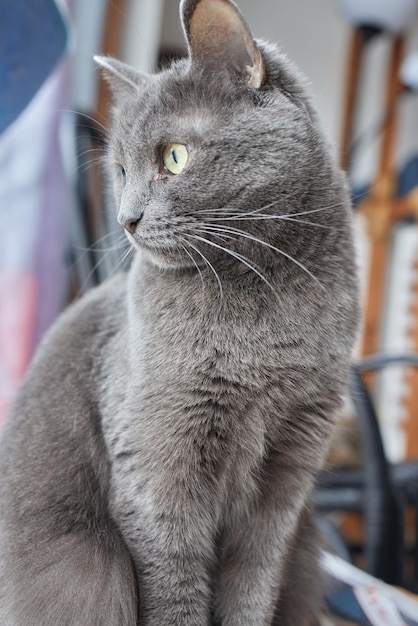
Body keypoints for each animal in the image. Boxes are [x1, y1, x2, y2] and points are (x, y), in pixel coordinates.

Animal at [0, 0, 360, 620]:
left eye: (174, 157)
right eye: (120, 172)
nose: (126, 218)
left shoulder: (289, 479)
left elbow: (254, 588)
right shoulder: (156, 470)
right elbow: (175, 594)